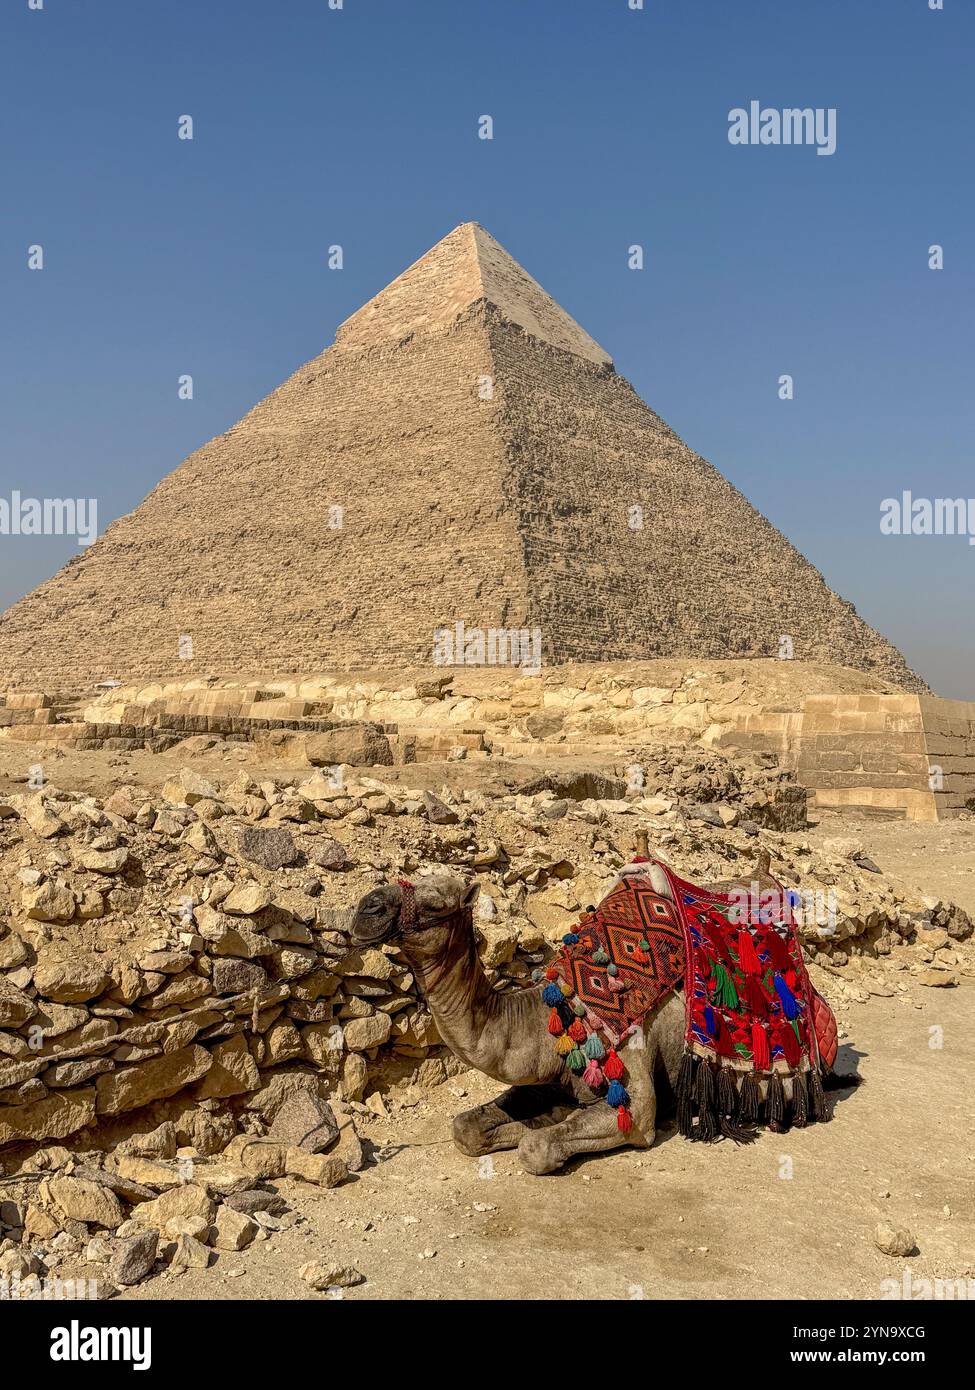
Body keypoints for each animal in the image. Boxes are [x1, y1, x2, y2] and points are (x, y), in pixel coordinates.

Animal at [350, 845, 797, 1174]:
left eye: (435, 904)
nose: (365, 909)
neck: (545, 1014)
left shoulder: (633, 1096)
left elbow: (536, 1146)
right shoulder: (544, 1076)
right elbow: (467, 1129)